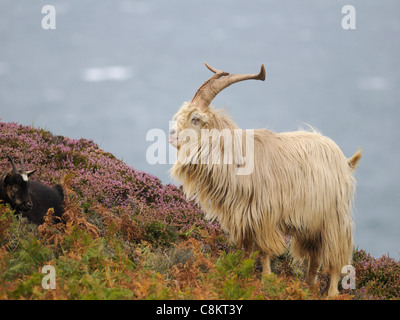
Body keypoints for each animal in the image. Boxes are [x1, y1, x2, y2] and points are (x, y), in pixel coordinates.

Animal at [167, 63, 360, 298]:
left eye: (195, 118)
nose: (171, 134)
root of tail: (345, 160)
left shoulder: (264, 214)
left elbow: (264, 250)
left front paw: (266, 279)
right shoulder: (242, 218)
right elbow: (247, 249)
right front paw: (241, 272)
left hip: (333, 220)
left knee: (334, 257)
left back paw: (331, 292)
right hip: (311, 224)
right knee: (315, 257)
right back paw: (308, 286)